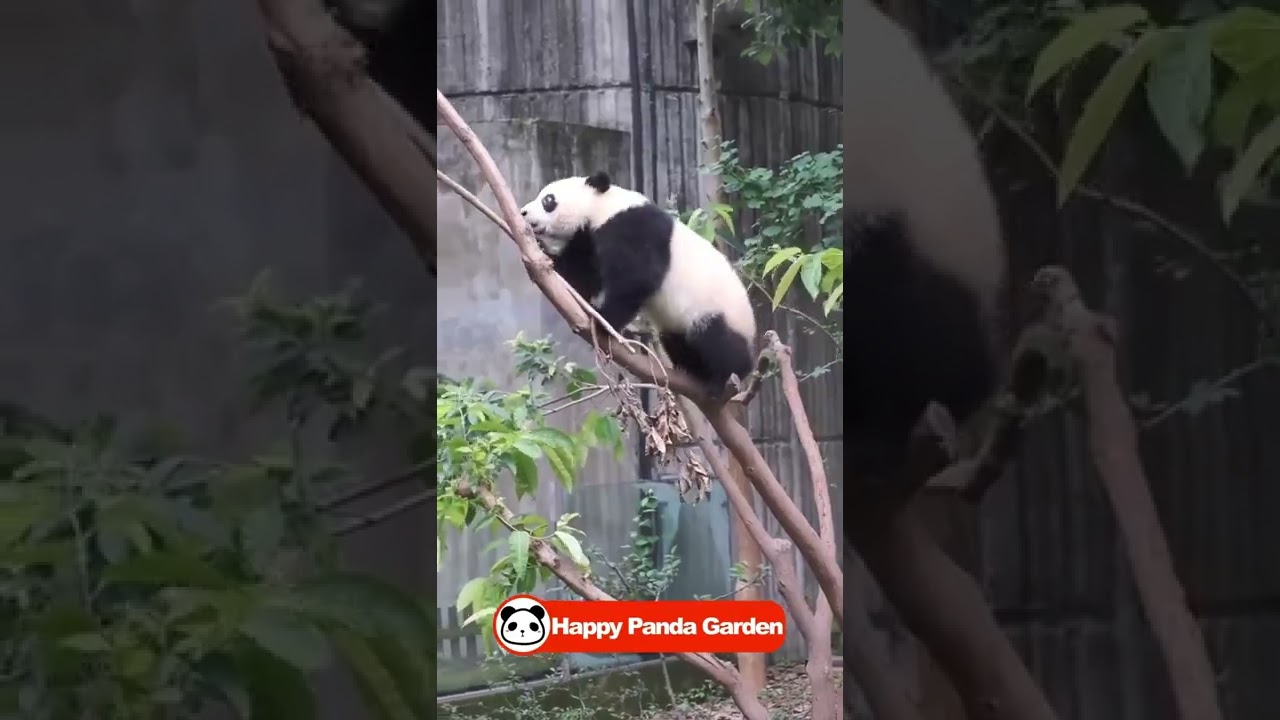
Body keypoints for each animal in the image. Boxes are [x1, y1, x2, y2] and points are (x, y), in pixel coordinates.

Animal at [518, 172, 757, 401]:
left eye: (548, 200)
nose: (523, 213)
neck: (603, 208)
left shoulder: (633, 229)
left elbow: (637, 278)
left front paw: (603, 320)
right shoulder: (588, 239)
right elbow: (582, 276)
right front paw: (541, 256)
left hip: (718, 311)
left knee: (720, 343)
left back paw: (721, 378)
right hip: (677, 325)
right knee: (678, 341)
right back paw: (690, 369)